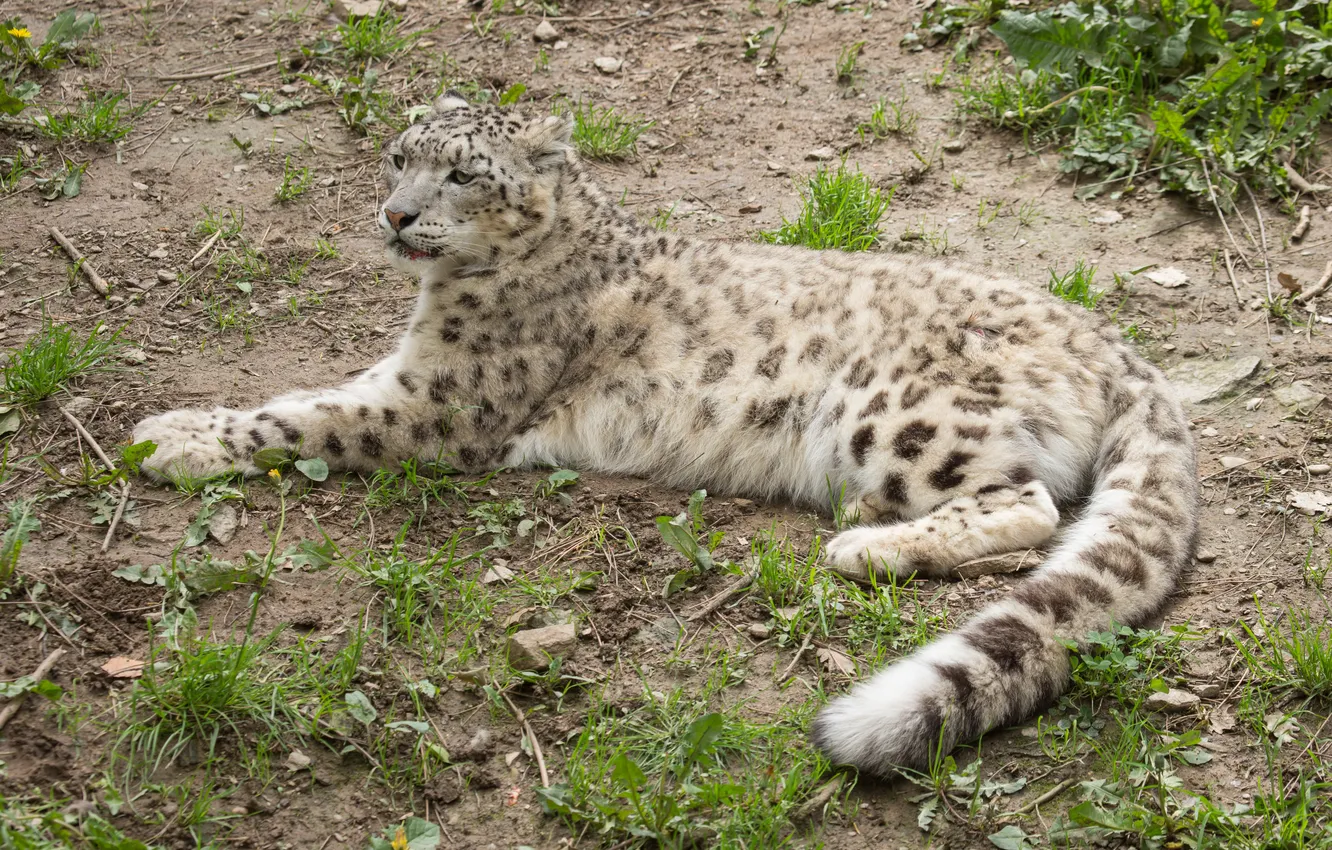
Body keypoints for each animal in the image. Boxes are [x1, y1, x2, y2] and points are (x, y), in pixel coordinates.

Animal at [132, 91, 1199, 776]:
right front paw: (183, 424)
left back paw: (867, 545)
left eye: (463, 173)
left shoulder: (440, 403)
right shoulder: (407, 370)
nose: (395, 215)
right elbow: (313, 392)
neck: (444, 296)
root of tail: (1114, 339)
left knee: (1027, 500)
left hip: (900, 418)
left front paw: (168, 435)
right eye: (399, 155)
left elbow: (305, 415)